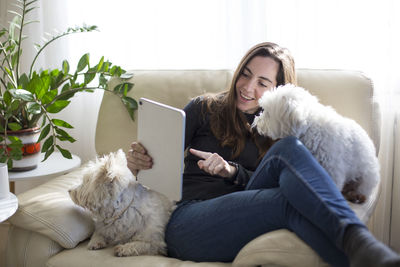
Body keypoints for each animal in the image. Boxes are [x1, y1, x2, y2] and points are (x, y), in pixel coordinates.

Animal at [252, 85, 380, 204]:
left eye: (268, 113)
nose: (255, 124)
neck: (309, 127)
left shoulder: (333, 170)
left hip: (366, 178)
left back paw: (356, 195)